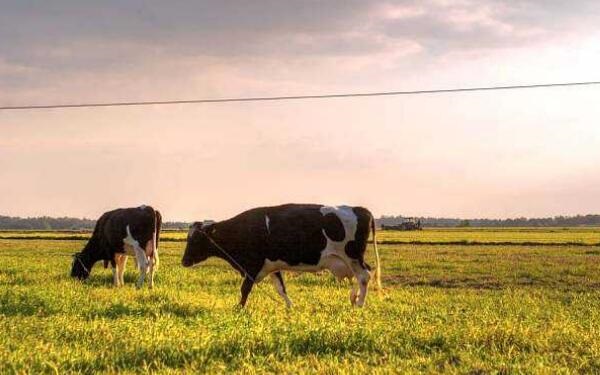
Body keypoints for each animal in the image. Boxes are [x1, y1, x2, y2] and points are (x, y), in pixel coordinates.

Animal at [180, 206, 382, 308]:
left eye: (196, 239)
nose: (184, 261)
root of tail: (360, 209)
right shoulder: (271, 266)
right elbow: (281, 289)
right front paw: (290, 307)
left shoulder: (253, 265)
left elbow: (244, 289)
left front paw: (239, 308)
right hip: (349, 260)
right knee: (363, 274)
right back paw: (354, 297)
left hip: (352, 256)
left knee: (364, 276)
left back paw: (359, 303)